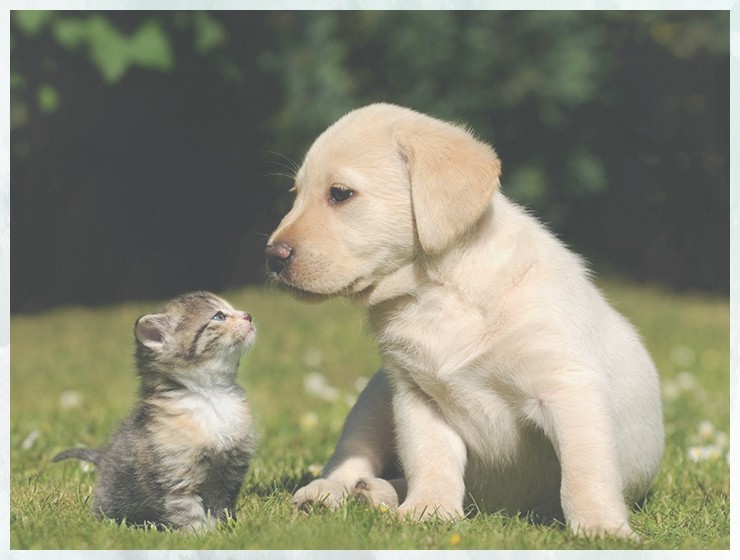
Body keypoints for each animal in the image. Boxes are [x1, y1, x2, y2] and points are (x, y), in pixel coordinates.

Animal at [54, 290, 258, 532]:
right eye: (218, 316)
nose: (248, 315)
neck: (211, 395)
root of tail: (103, 456)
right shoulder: (176, 478)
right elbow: (187, 511)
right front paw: (201, 534)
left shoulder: (229, 472)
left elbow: (220, 505)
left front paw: (223, 530)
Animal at [266, 101, 664, 540]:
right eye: (296, 195)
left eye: (340, 194)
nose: (272, 257)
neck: (438, 292)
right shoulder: (416, 395)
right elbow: (431, 459)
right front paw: (429, 511)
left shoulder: (568, 386)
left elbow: (585, 471)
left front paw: (601, 528)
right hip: (374, 399)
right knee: (351, 458)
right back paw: (335, 492)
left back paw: (376, 492)